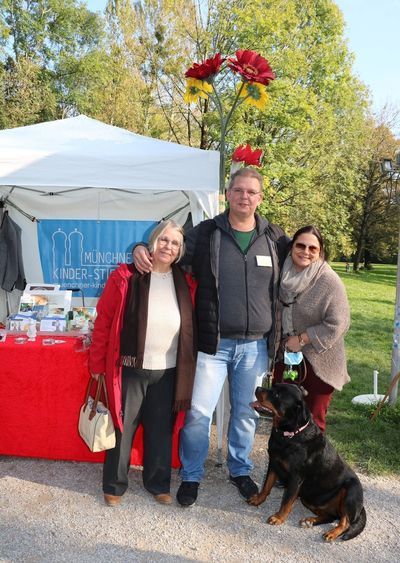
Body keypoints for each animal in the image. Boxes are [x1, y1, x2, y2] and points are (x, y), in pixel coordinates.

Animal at [250, 384, 366, 540]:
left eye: (277, 395)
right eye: (273, 387)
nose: (257, 388)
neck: (289, 435)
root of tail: (361, 506)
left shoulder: (296, 478)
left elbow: (286, 501)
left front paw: (279, 517)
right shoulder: (273, 463)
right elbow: (267, 485)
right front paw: (258, 499)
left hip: (351, 489)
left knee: (345, 521)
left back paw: (332, 532)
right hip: (309, 498)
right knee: (331, 515)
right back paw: (310, 520)